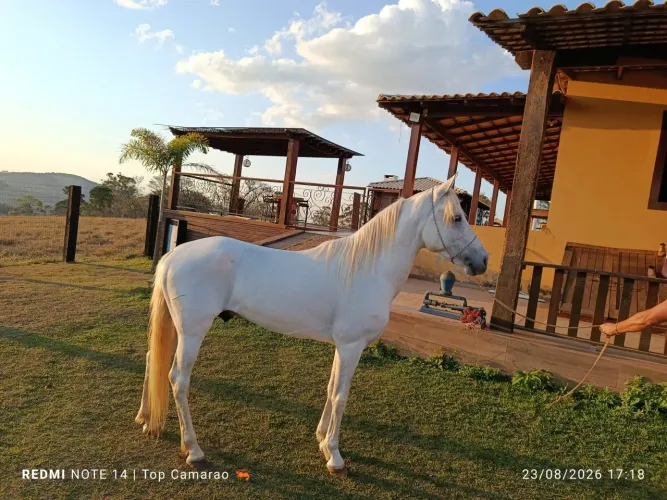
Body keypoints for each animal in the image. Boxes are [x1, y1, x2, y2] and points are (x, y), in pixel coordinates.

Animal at [134, 175, 488, 476]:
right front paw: (335, 456)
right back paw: (193, 449)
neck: (367, 268)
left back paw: (146, 419)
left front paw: (321, 439)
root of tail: (172, 256)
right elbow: (342, 395)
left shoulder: (341, 346)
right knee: (178, 380)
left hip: (176, 328)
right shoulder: (352, 346)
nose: (482, 260)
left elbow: (331, 389)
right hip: (192, 332)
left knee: (153, 359)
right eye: (457, 218)